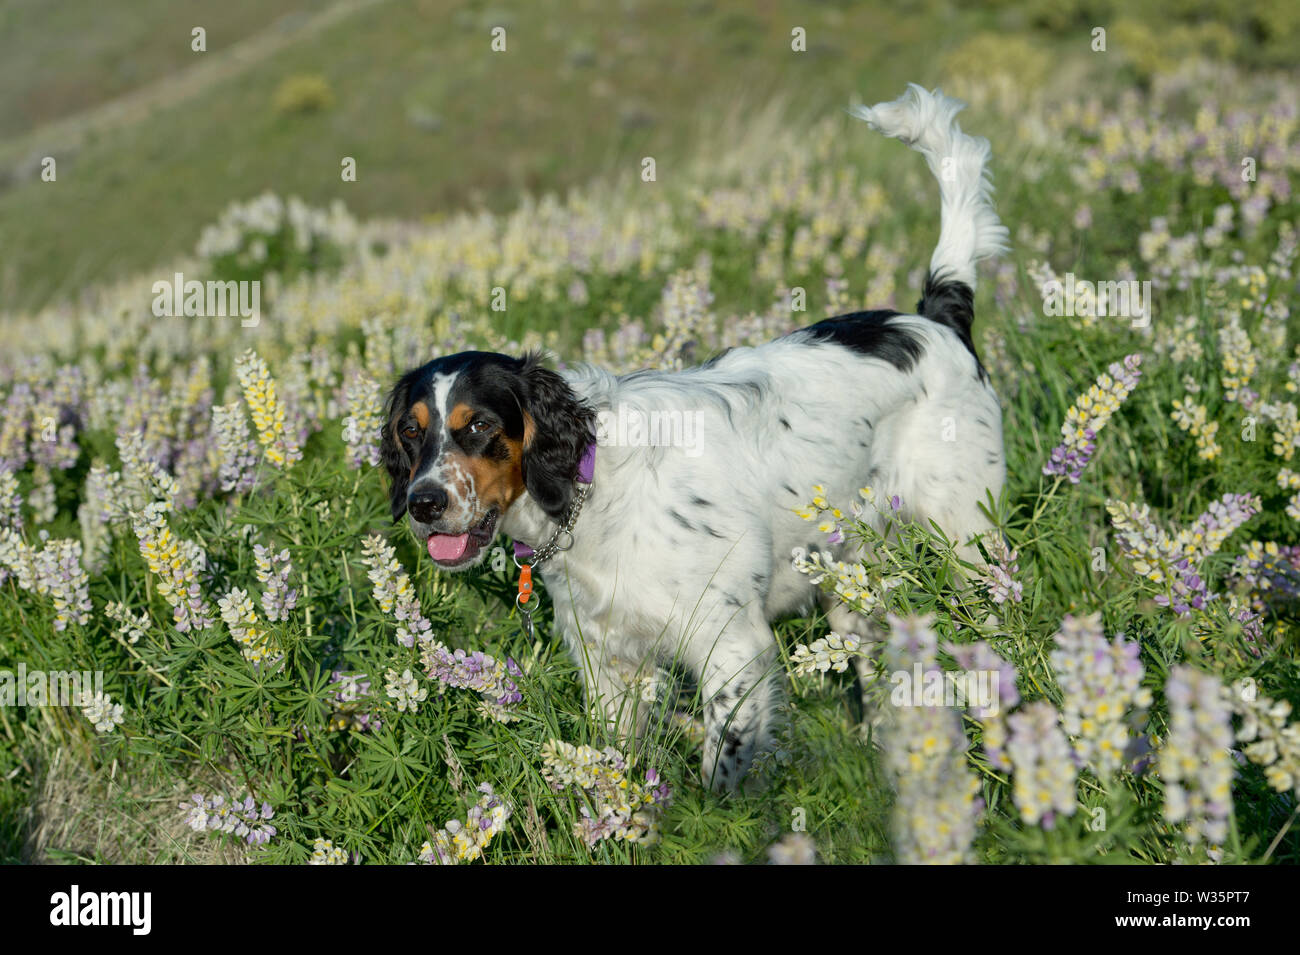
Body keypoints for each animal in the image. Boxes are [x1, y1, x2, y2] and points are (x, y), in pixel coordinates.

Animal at [379, 85, 1008, 789]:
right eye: (411, 432)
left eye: (481, 426)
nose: (425, 503)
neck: (592, 491)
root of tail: (936, 318)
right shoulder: (609, 664)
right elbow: (617, 769)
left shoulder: (731, 646)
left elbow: (724, 771)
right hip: (853, 577)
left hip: (968, 546)